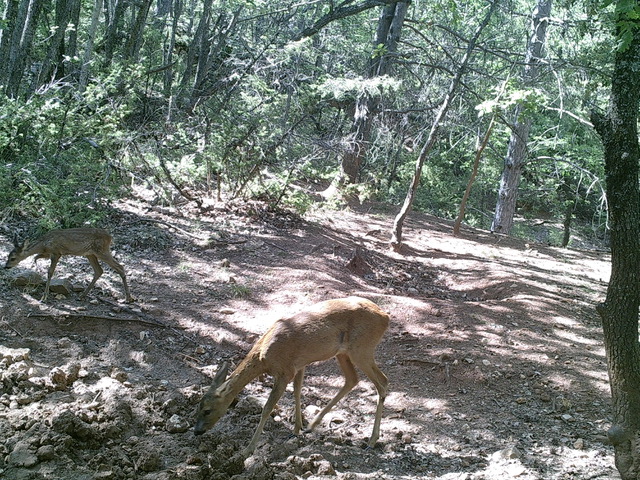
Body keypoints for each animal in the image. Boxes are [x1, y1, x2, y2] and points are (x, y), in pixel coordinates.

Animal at [4, 227, 132, 302]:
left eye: (13, 258)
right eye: (8, 256)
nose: (6, 266)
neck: (44, 244)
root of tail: (110, 237)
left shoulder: (56, 252)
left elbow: (50, 272)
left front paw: (44, 297)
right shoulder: (47, 253)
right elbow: (36, 257)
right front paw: (34, 265)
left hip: (101, 251)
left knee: (120, 267)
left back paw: (128, 298)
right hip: (90, 254)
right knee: (99, 271)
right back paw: (82, 296)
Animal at [192, 296, 388, 458]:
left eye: (207, 410)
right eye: (197, 407)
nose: (196, 431)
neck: (263, 356)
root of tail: (385, 317)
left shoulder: (284, 371)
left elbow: (267, 408)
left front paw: (249, 449)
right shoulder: (299, 365)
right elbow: (297, 391)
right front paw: (296, 429)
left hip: (361, 348)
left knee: (382, 382)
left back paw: (371, 441)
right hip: (344, 353)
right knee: (352, 379)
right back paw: (313, 425)